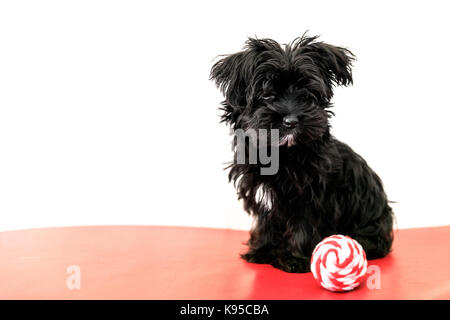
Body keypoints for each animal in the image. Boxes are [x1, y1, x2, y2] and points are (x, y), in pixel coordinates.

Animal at [211, 35, 394, 276]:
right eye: (267, 95)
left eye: (306, 95)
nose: (291, 121)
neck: (281, 154)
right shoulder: (263, 196)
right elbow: (266, 224)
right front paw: (262, 252)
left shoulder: (309, 197)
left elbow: (303, 227)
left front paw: (294, 259)